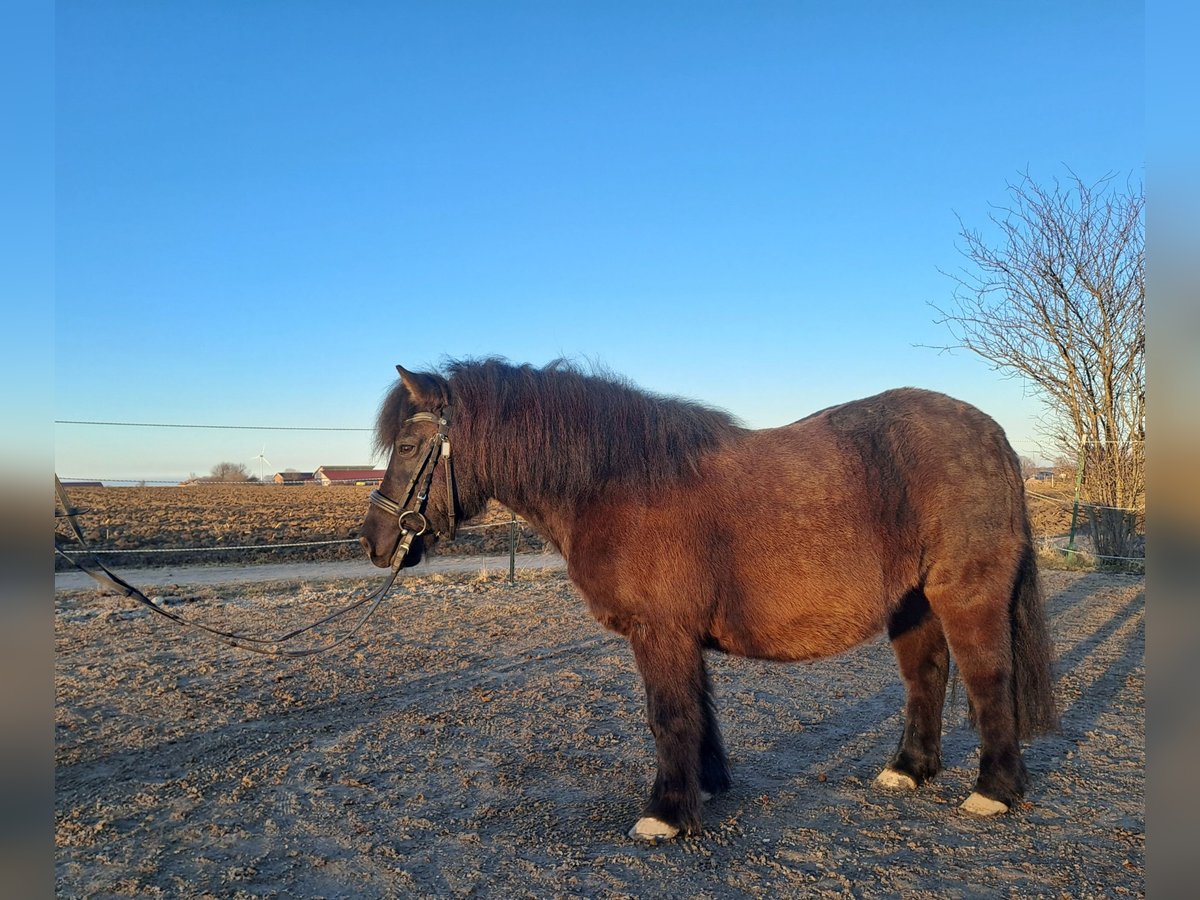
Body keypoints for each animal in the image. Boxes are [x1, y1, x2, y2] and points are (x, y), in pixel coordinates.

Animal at [360, 357, 1056, 840]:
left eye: (410, 447)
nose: (374, 541)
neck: (617, 482)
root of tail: (993, 437)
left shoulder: (660, 632)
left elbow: (668, 715)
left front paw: (665, 815)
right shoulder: (682, 636)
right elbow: (698, 711)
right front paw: (708, 788)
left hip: (965, 596)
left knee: (988, 680)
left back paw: (994, 791)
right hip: (912, 603)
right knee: (925, 676)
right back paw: (909, 769)